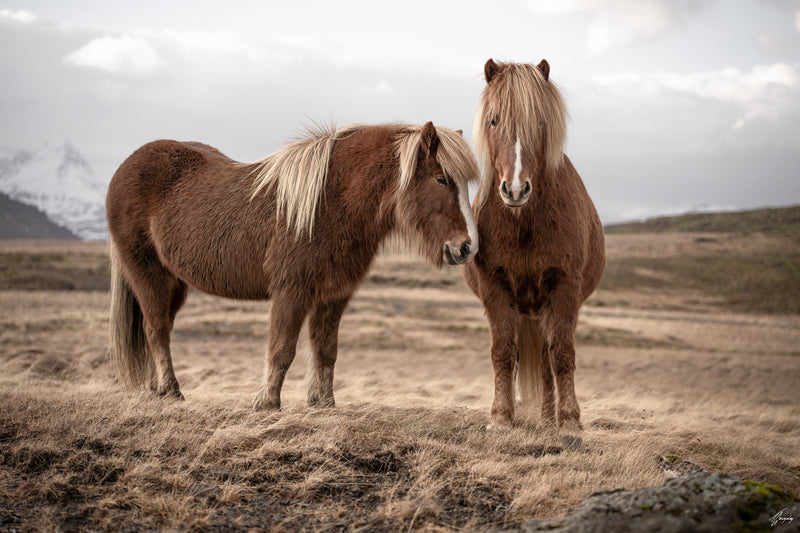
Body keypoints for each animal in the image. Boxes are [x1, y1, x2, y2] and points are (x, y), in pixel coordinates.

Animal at [106, 121, 480, 410]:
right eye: (441, 179)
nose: (466, 247)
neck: (330, 202)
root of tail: (126, 166)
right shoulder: (292, 291)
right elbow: (282, 349)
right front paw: (267, 403)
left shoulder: (334, 295)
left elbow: (326, 350)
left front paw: (323, 403)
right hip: (147, 273)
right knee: (156, 330)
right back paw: (171, 391)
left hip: (175, 282)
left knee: (158, 329)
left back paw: (157, 390)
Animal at [462, 59, 605, 435]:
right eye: (494, 120)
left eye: (540, 123)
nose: (515, 189)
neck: (524, 223)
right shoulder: (495, 288)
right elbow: (502, 352)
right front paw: (500, 419)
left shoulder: (564, 289)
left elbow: (563, 355)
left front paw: (570, 424)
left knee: (546, 359)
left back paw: (548, 418)